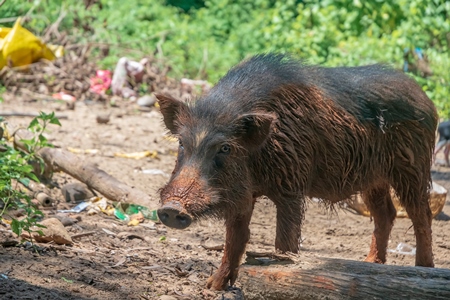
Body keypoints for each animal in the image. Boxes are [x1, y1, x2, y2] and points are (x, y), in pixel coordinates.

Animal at [154, 52, 436, 290]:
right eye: (182, 143)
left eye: (225, 147)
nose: (172, 208)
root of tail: (426, 99)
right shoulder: (243, 194)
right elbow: (235, 238)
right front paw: (213, 287)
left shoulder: (291, 186)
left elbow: (285, 241)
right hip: (373, 178)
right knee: (385, 213)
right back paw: (370, 263)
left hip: (412, 167)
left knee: (421, 215)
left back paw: (425, 269)